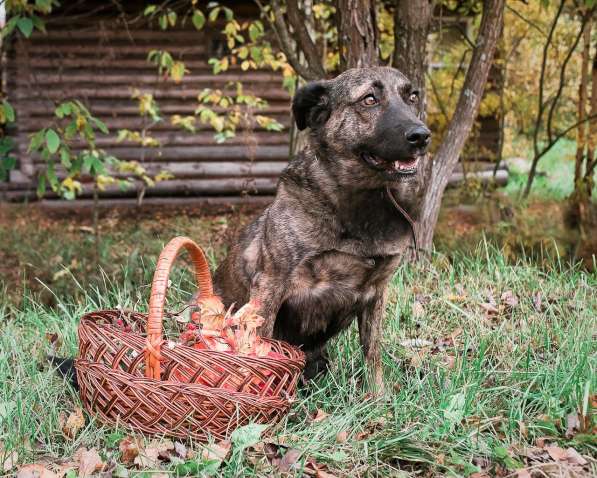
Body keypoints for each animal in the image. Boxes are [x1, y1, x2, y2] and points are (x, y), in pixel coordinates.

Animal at [214, 66, 428, 388]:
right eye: (369, 99)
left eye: (412, 97)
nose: (421, 136)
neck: (362, 206)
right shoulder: (269, 286)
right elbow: (260, 350)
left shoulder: (376, 293)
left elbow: (373, 353)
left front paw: (378, 396)